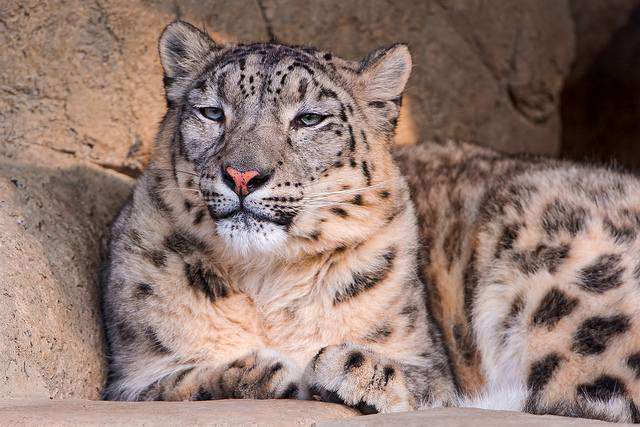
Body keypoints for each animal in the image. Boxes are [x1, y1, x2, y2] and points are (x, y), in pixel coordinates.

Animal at [101, 20, 640, 423]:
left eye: (309, 118)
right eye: (212, 112)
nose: (242, 175)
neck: (265, 284)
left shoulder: (427, 357)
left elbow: (437, 384)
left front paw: (342, 367)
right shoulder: (133, 371)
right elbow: (170, 383)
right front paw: (258, 371)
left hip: (568, 288)